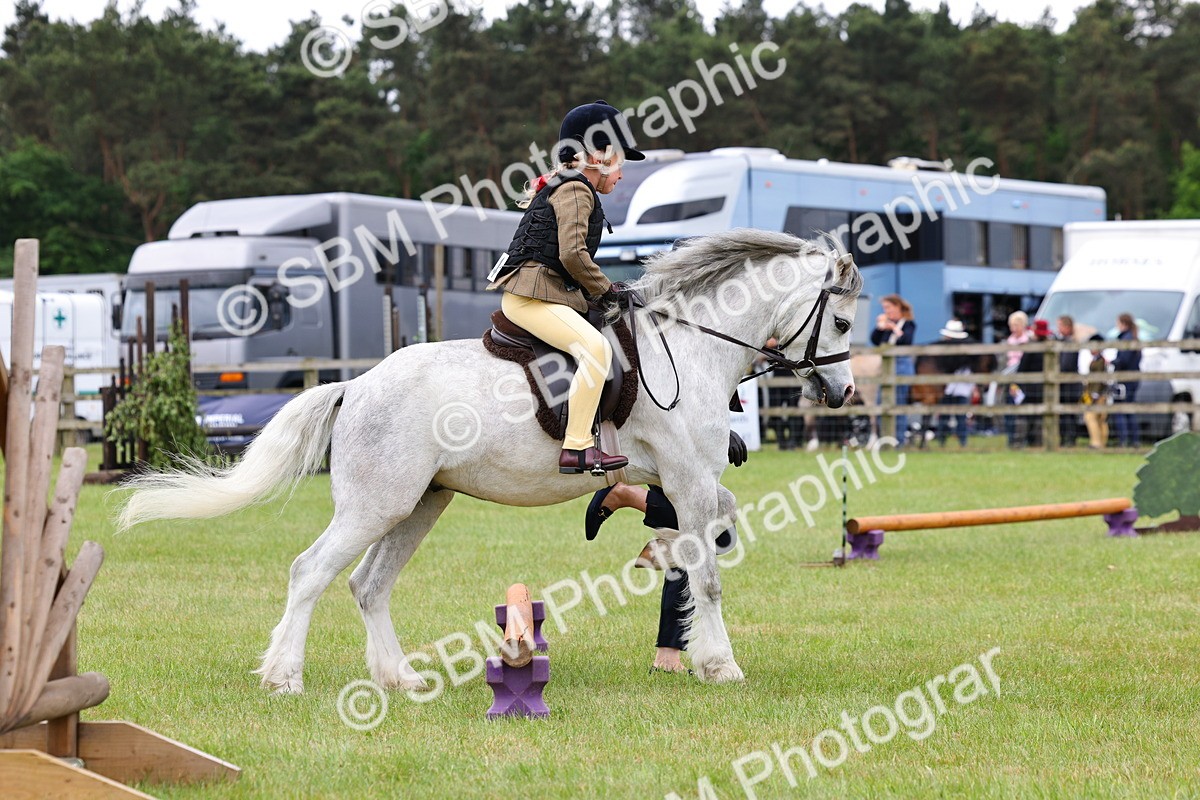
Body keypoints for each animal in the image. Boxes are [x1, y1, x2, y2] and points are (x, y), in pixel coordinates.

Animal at [116, 228, 862, 694]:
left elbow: (706, 538)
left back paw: (398, 678)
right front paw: (720, 664)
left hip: (420, 503)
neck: (692, 345)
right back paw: (284, 677)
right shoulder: (687, 478)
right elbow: (707, 573)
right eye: (844, 323)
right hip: (376, 504)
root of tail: (356, 384)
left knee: (368, 585)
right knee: (311, 572)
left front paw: (667, 578)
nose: (844, 392)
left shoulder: (682, 482)